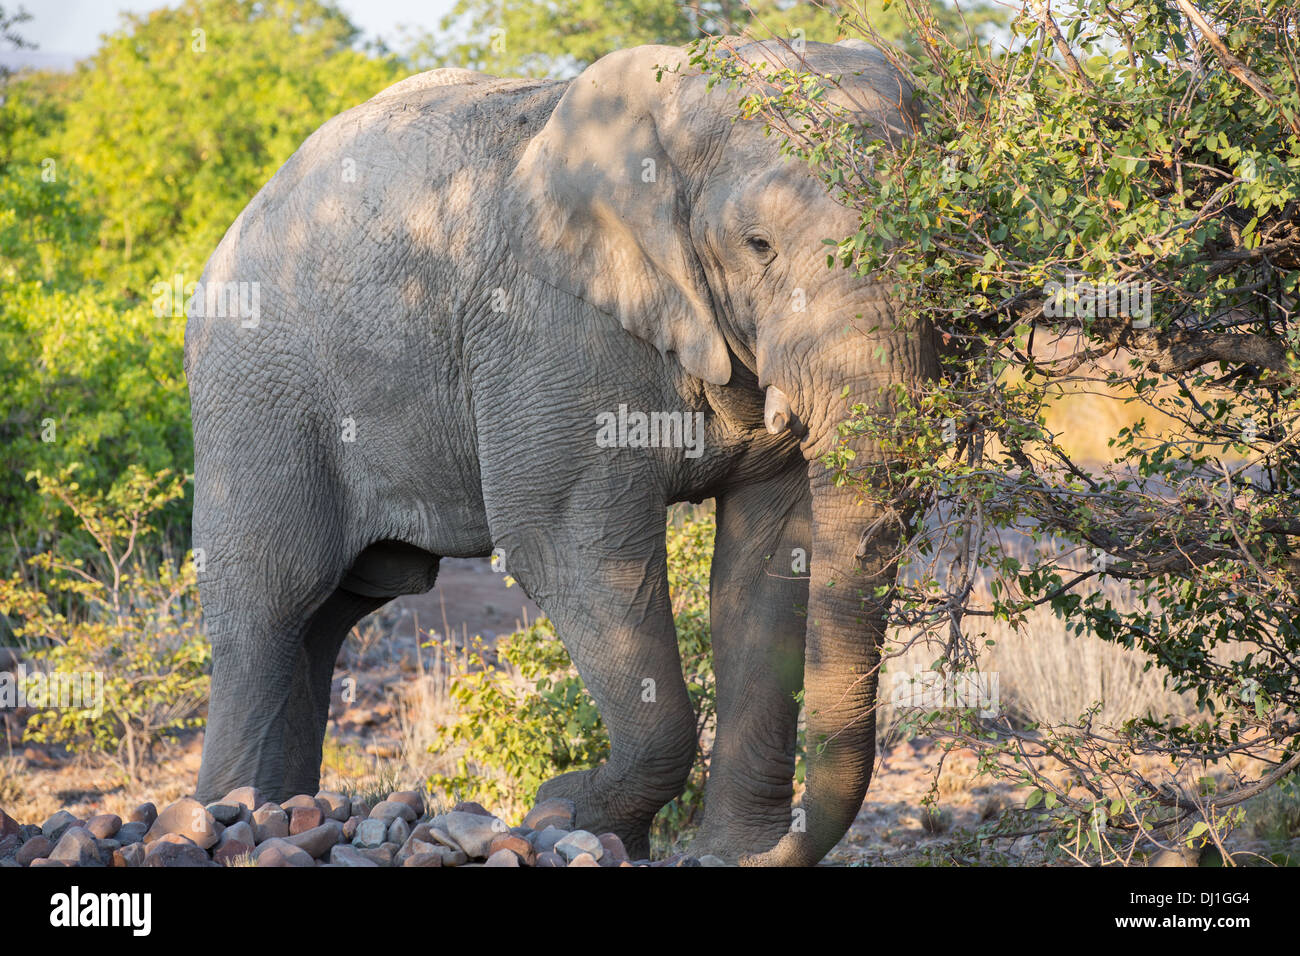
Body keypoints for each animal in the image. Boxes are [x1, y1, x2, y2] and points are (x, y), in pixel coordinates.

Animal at [185, 37, 935, 863]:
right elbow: (570, 542)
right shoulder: (545, 326)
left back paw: (285, 809)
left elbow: (769, 561)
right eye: (759, 246)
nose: (766, 848)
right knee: (269, 605)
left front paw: (729, 854)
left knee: (325, 619)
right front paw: (566, 809)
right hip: (256, 394)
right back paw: (235, 813)